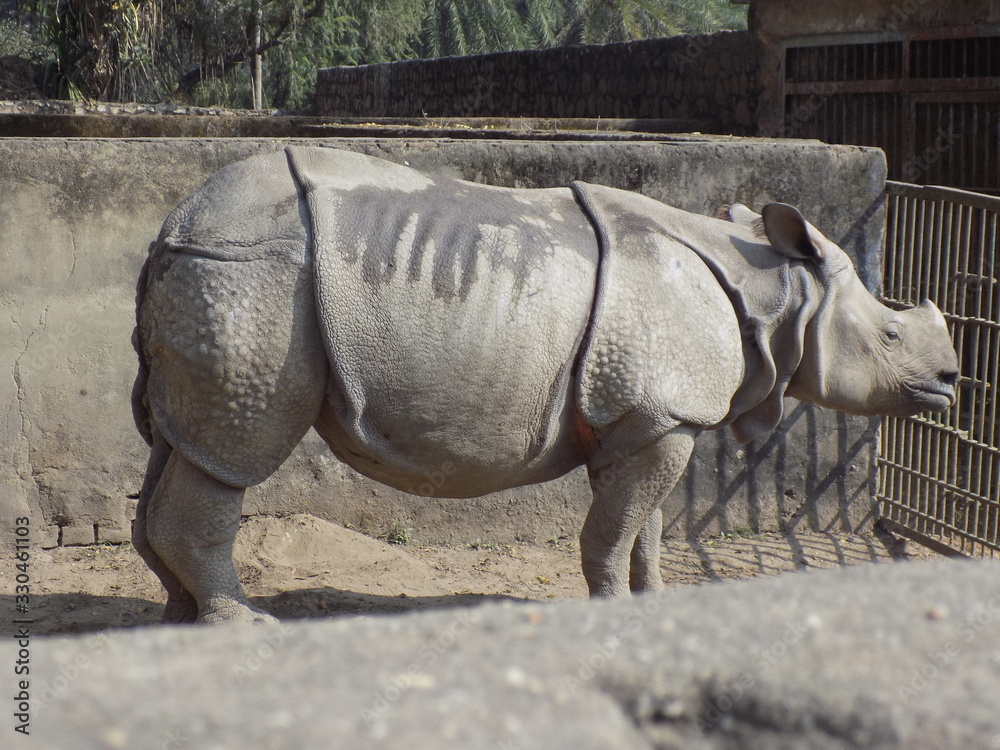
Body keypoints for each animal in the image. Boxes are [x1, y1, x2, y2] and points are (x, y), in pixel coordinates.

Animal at [132, 147, 959, 623]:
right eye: (891, 339)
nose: (951, 382)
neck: (779, 290)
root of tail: (174, 223)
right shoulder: (659, 413)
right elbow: (612, 529)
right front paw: (611, 611)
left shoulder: (648, 417)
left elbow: (643, 524)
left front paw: (650, 605)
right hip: (254, 276)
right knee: (236, 449)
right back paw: (243, 626)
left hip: (218, 272)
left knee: (180, 445)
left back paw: (179, 622)